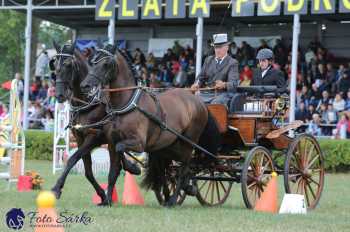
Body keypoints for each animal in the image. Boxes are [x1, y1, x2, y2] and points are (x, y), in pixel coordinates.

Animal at [51, 42, 141, 206]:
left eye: (68, 65)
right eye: (54, 65)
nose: (59, 95)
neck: (88, 102)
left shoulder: (94, 138)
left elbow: (72, 159)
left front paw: (57, 188)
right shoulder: (80, 139)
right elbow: (88, 171)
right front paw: (102, 195)